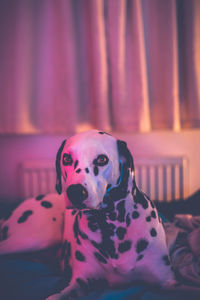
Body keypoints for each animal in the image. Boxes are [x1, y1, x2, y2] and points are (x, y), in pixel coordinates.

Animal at [0, 130, 178, 298]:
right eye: (66, 158)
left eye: (102, 159)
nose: (75, 192)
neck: (111, 227)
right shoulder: (81, 280)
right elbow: (57, 296)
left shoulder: (167, 280)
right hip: (36, 238)